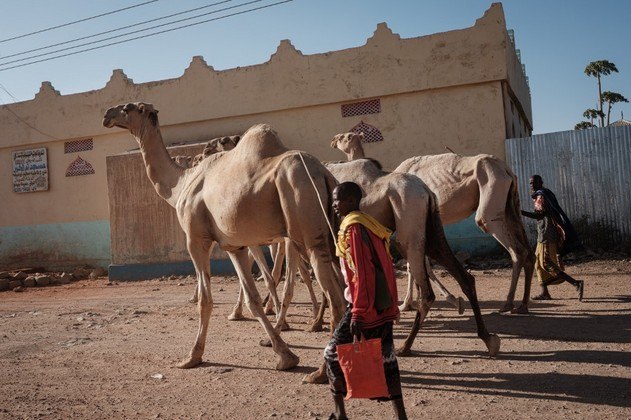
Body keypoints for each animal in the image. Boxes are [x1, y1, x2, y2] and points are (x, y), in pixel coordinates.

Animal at [102, 101, 346, 374]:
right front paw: (285, 357)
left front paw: (192, 356)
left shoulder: (196, 239)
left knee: (335, 296)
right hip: (327, 235)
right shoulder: (234, 246)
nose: (106, 115)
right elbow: (252, 299)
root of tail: (324, 174)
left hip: (305, 225)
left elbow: (205, 300)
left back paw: (321, 373)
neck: (180, 185)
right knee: (343, 288)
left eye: (128, 108)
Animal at [328, 133, 502, 356]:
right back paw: (488, 338)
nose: (333, 141)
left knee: (426, 290)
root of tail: (427, 191)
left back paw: (406, 345)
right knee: (464, 277)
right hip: (432, 229)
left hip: (408, 225)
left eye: (344, 137)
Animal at [334, 133, 536, 314]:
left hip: (490, 190)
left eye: (345, 137)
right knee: (528, 250)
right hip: (512, 204)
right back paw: (523, 304)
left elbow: (415, 265)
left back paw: (508, 303)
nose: (333, 141)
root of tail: (507, 169)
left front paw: (409, 304)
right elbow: (418, 264)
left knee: (511, 245)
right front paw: (424, 301)